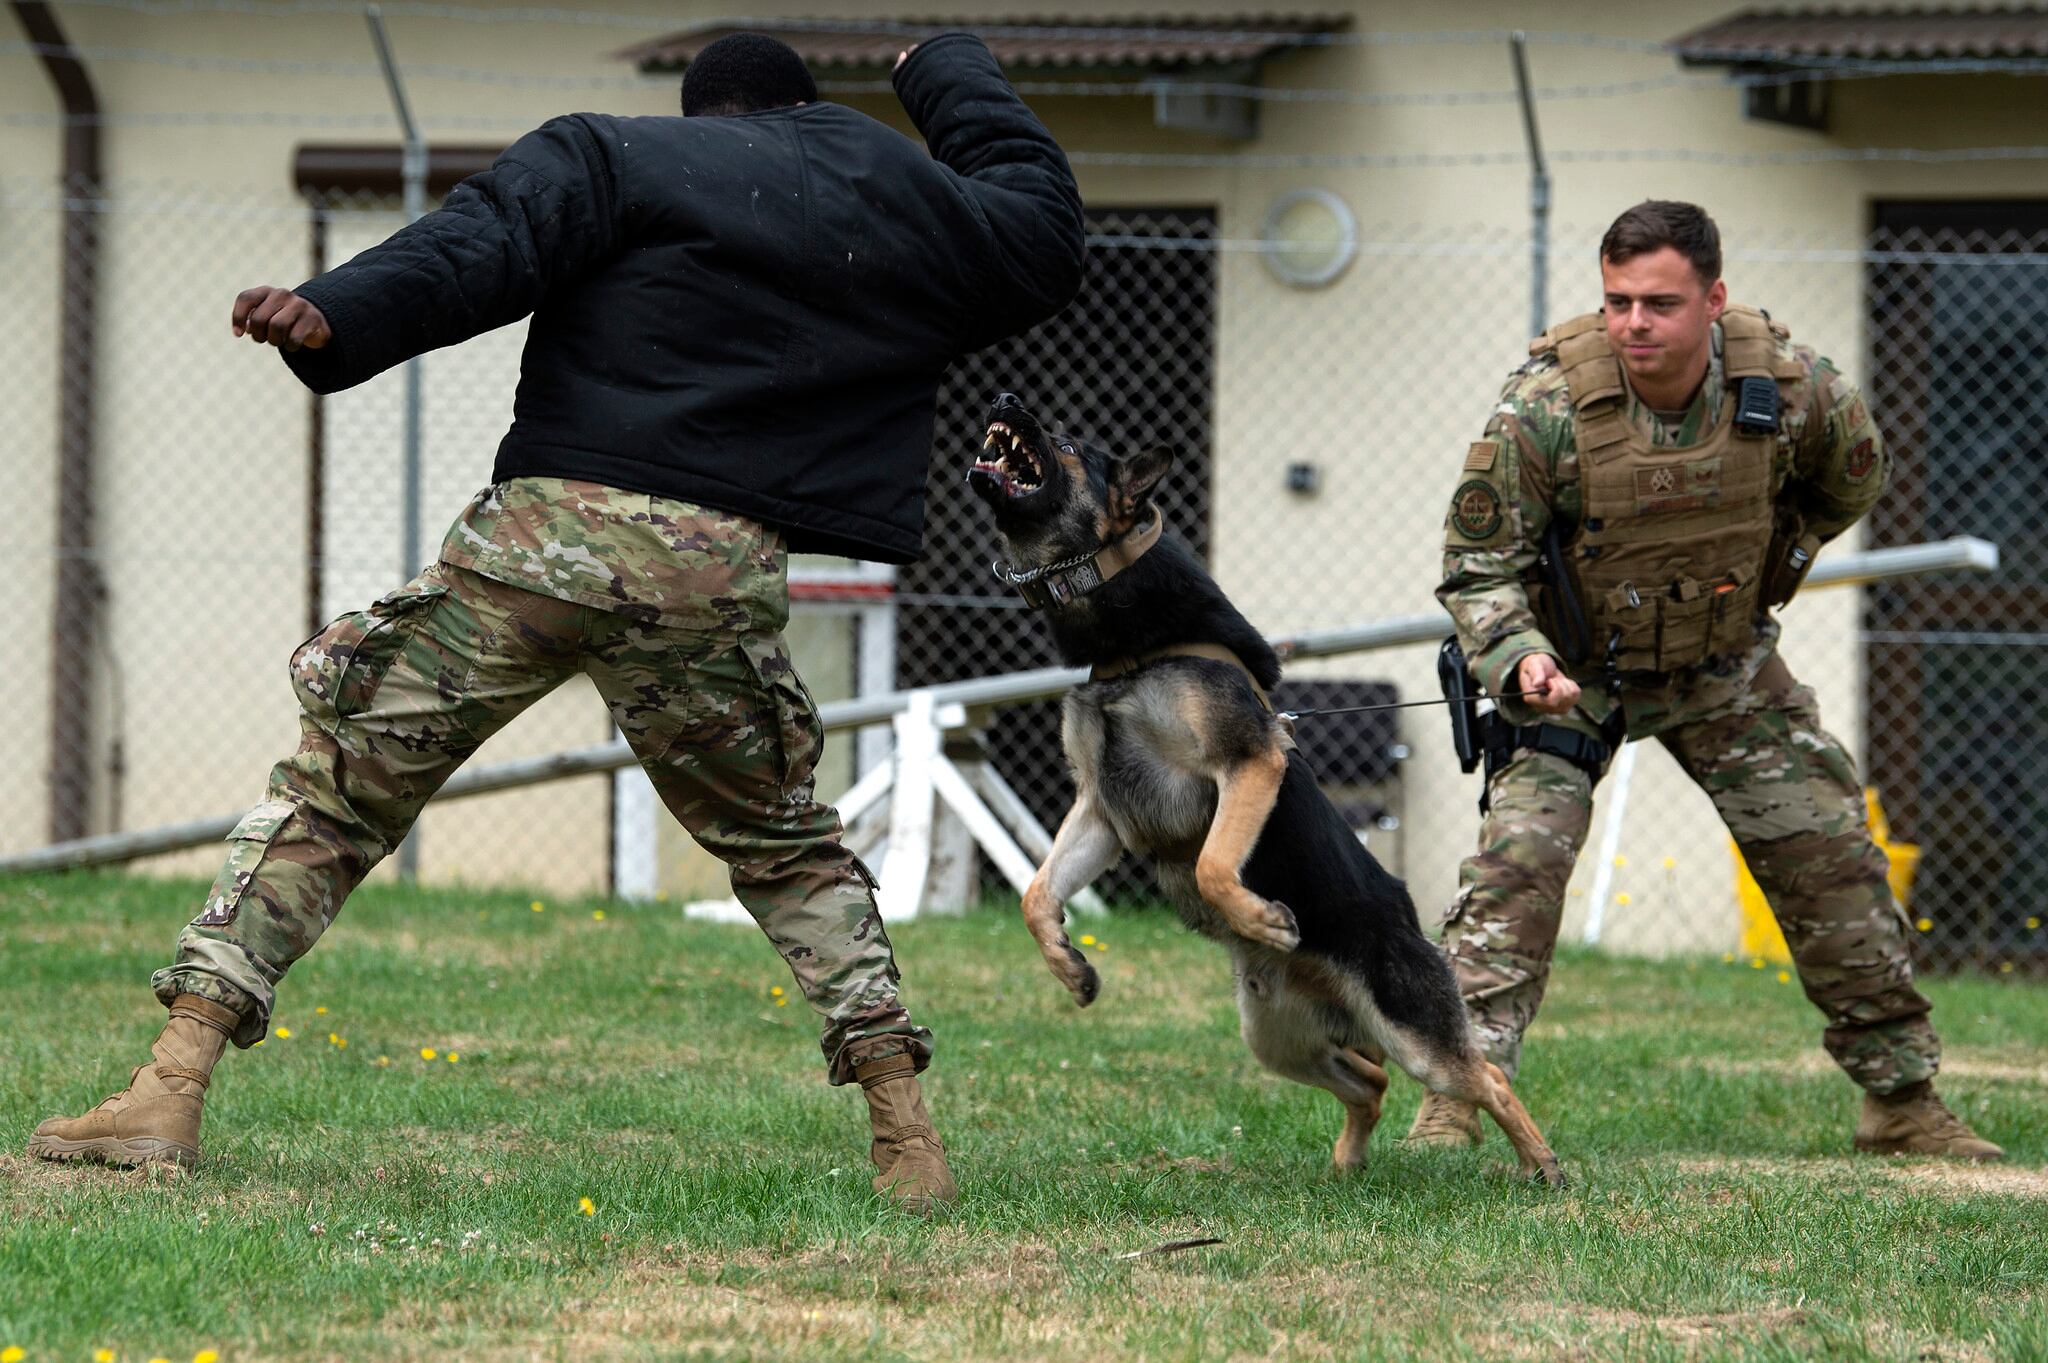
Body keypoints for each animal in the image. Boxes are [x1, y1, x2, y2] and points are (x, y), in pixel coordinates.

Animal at [974, 390, 1564, 1178]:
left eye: (1066, 442)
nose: (1006, 398)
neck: (1134, 652)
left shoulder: (1247, 764)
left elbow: (1213, 862)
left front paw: (1262, 917)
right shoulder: (1100, 811)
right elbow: (1037, 895)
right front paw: (1072, 970)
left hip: (1415, 1037)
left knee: (1484, 1076)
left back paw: (1542, 1165)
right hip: (1274, 1038)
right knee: (1371, 1082)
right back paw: (1347, 1164)